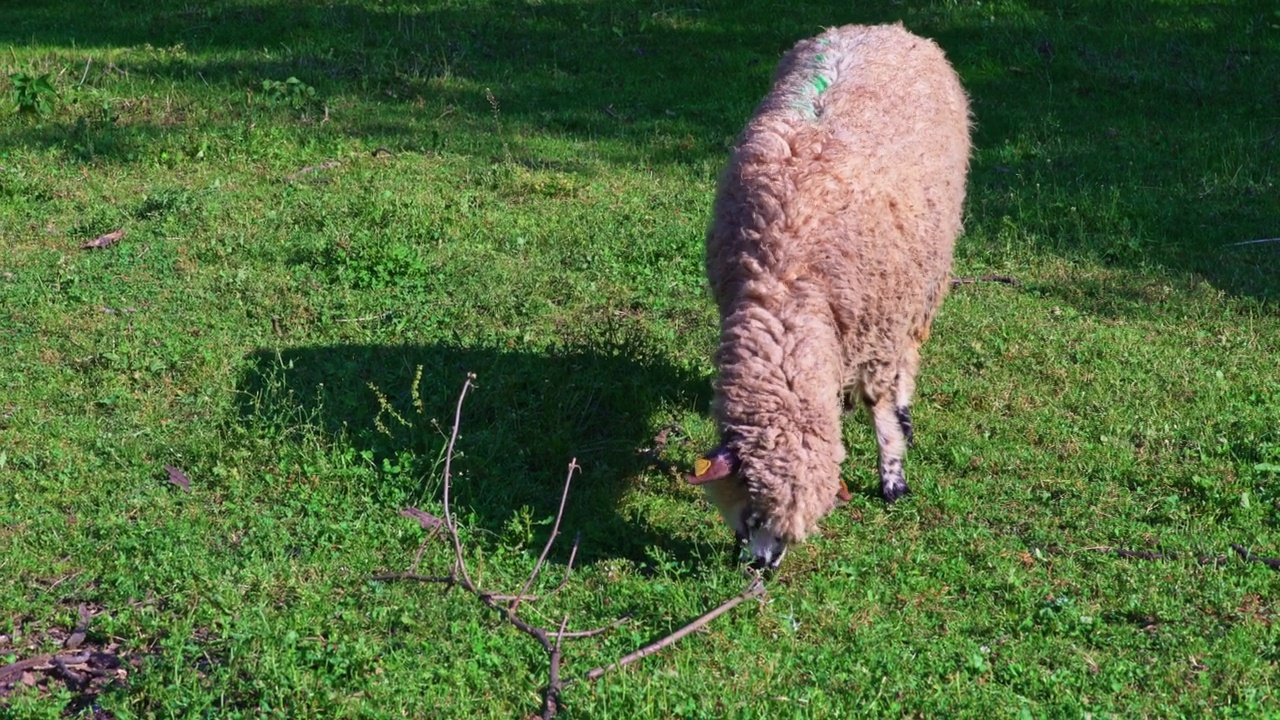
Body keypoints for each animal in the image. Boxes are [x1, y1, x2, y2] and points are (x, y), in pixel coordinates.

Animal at [691, 22, 967, 566]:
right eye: (753, 507)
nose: (763, 564)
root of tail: (885, 29)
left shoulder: (879, 326)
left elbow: (880, 404)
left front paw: (893, 476)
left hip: (921, 282)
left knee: (909, 353)